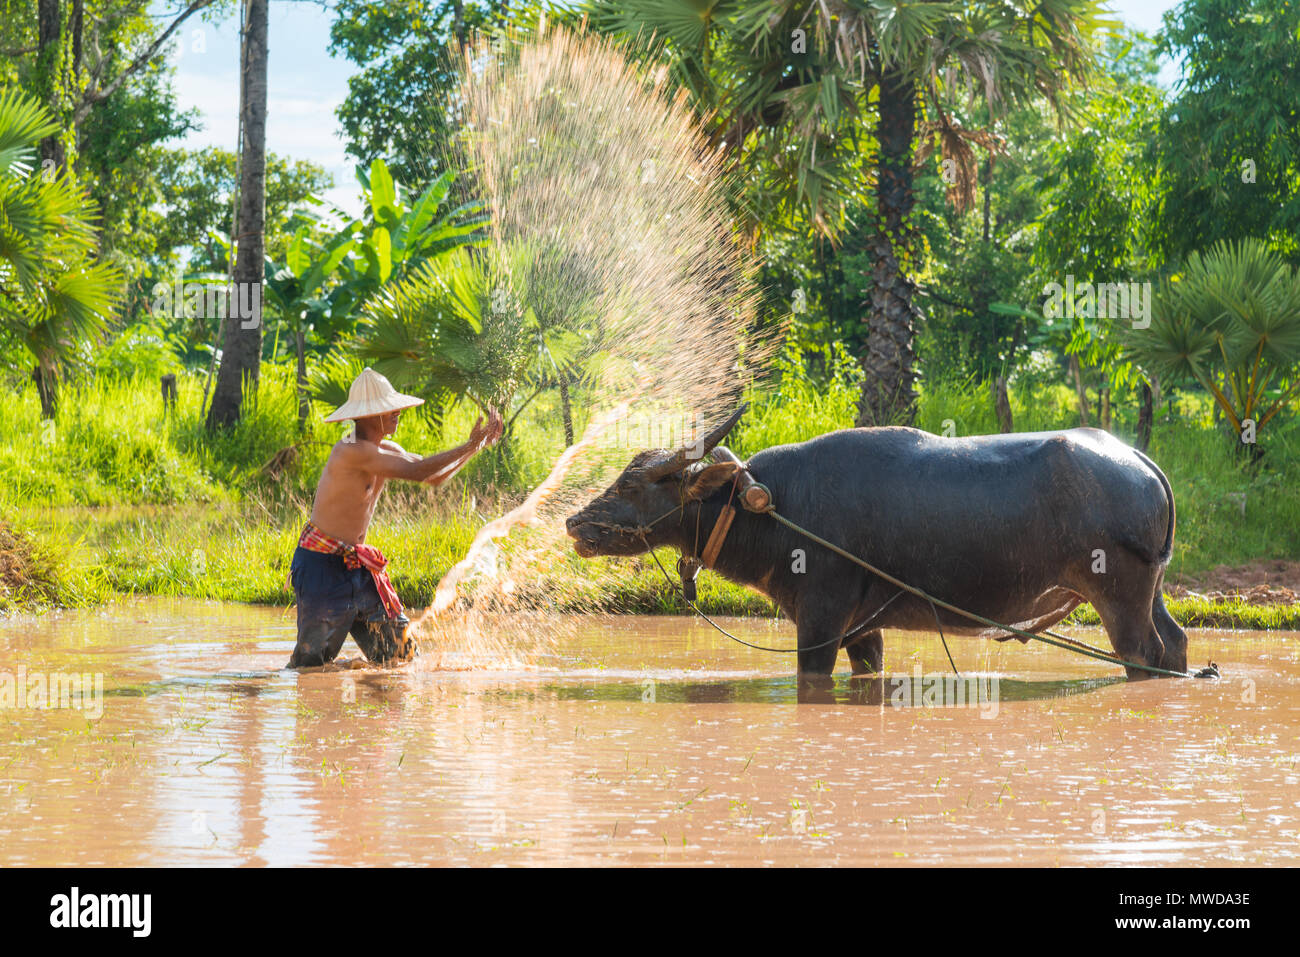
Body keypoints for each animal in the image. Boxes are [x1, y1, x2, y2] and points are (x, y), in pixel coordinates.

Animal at [564, 408, 1190, 686]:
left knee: (1143, 652)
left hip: (1118, 594)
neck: (776, 507)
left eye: (632, 486)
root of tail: (1137, 461)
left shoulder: (820, 620)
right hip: (1151, 590)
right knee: (1176, 642)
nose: (574, 523)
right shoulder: (862, 631)